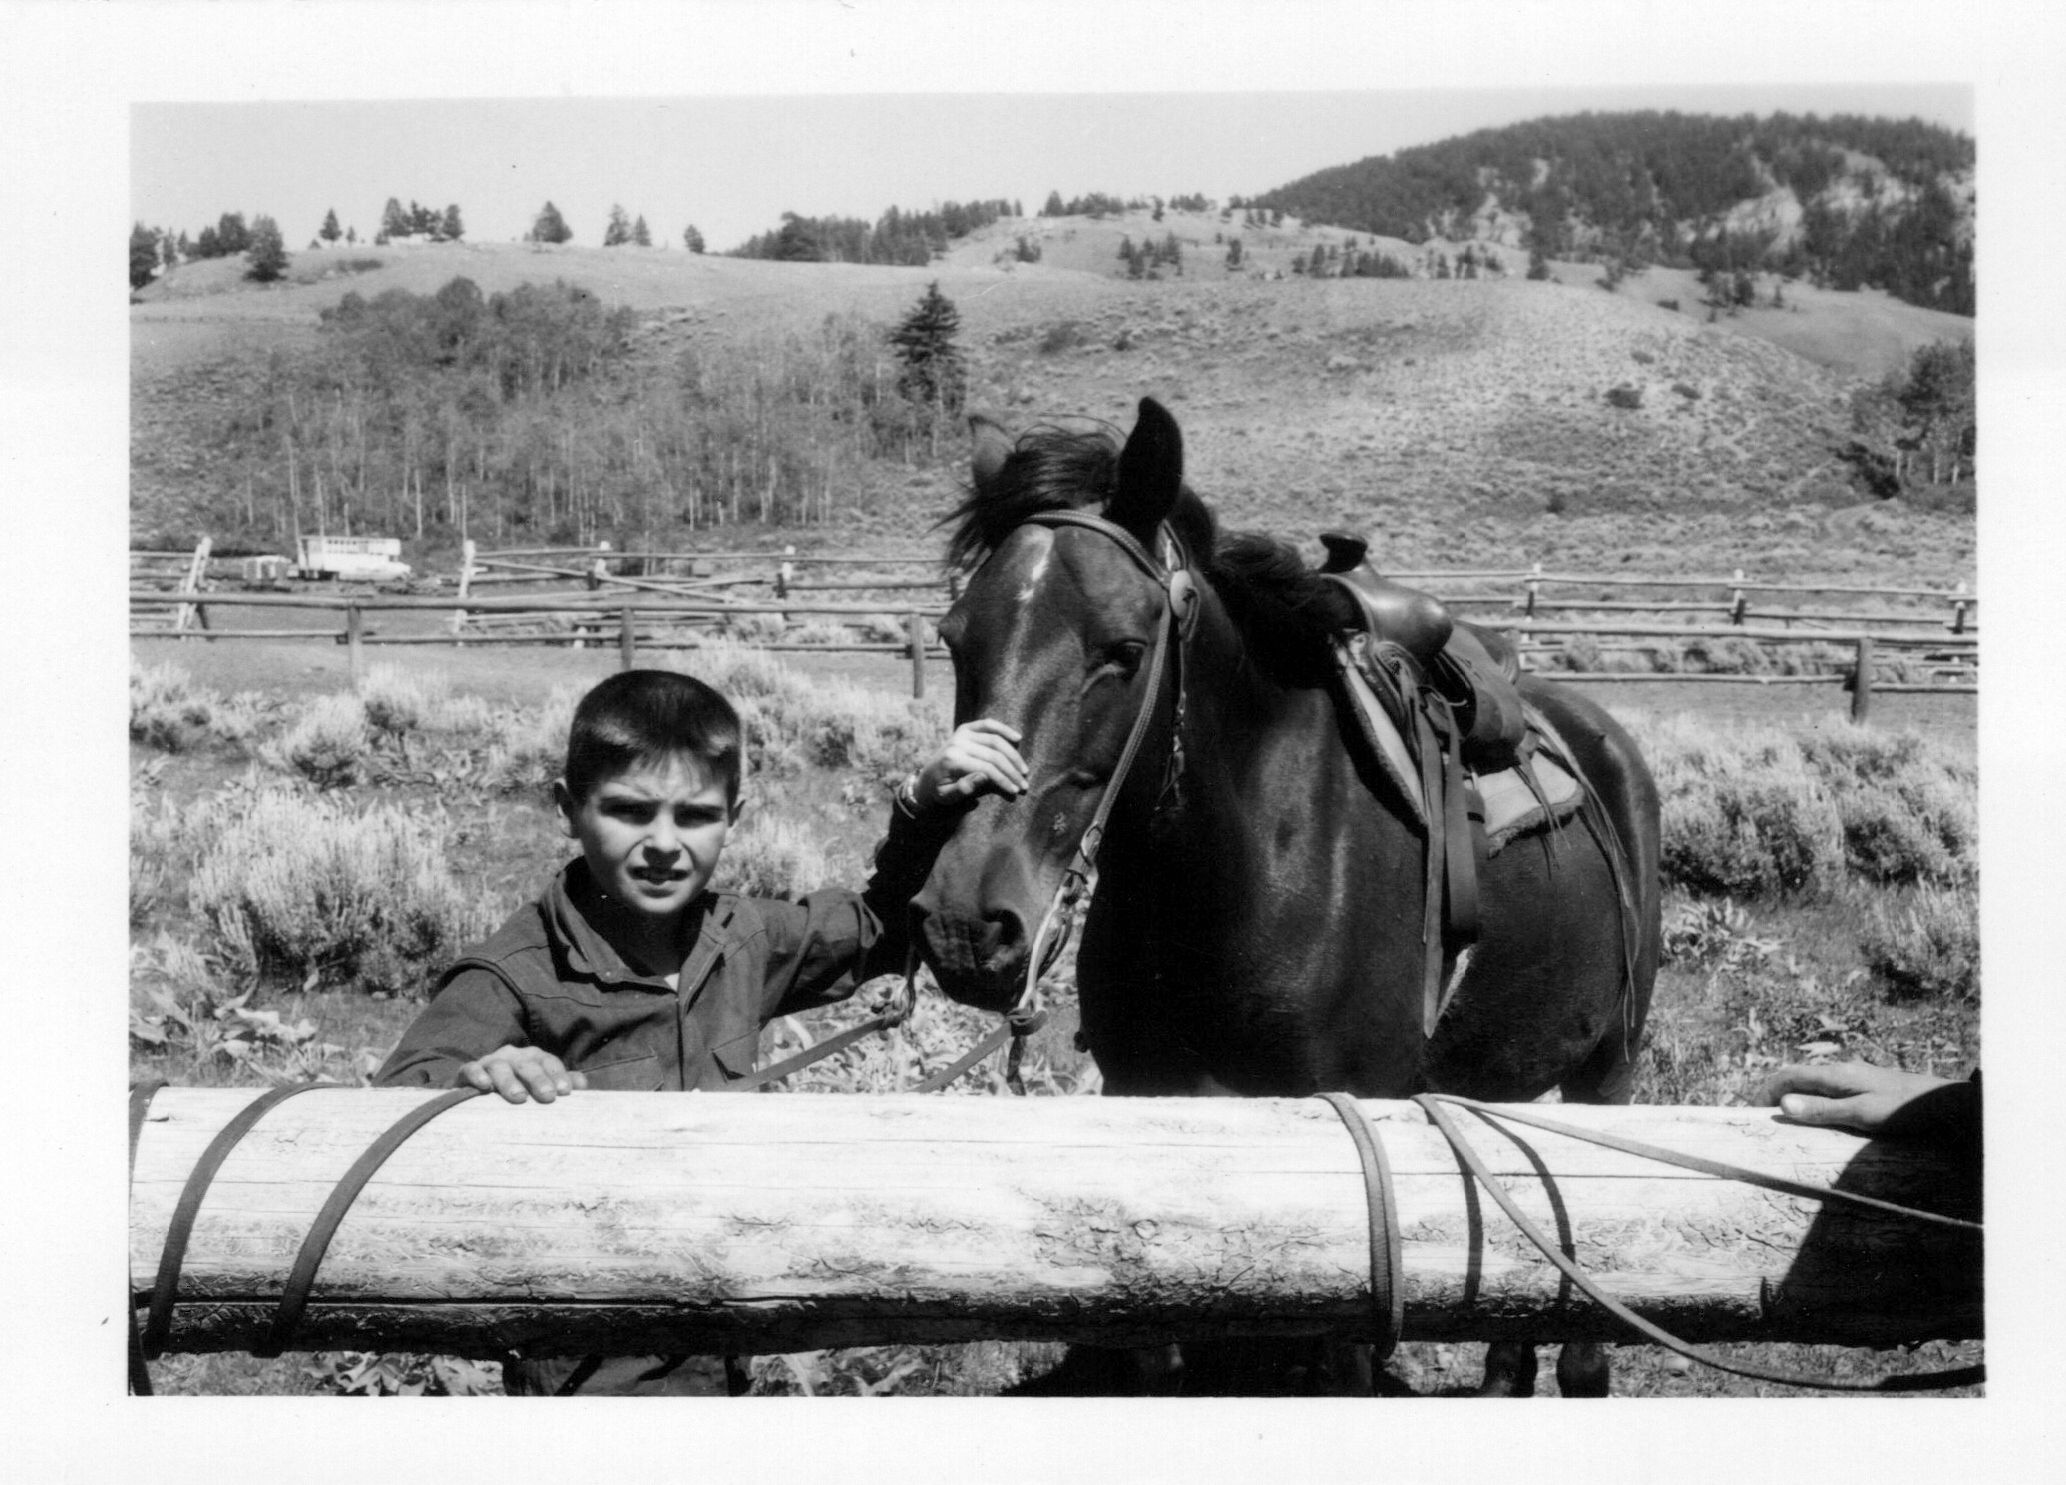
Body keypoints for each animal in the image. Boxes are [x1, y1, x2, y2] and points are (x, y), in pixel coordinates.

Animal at [910, 397, 1662, 1397]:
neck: (1238, 877)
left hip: (1609, 1064)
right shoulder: (1154, 1104)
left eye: (1124, 651)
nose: (964, 924)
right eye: (957, 637)